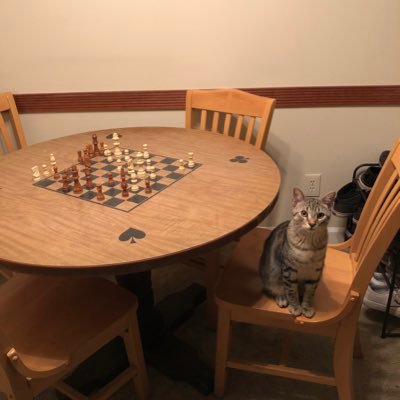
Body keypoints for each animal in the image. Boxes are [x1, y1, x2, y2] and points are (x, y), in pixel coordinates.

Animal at [260, 188, 336, 318]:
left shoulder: (315, 272)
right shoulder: (289, 270)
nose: (312, 224)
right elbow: (291, 291)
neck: (309, 245)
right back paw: (281, 297)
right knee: (275, 288)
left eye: (320, 215)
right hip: (271, 275)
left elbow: (310, 292)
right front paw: (295, 306)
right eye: (304, 213)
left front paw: (307, 307)